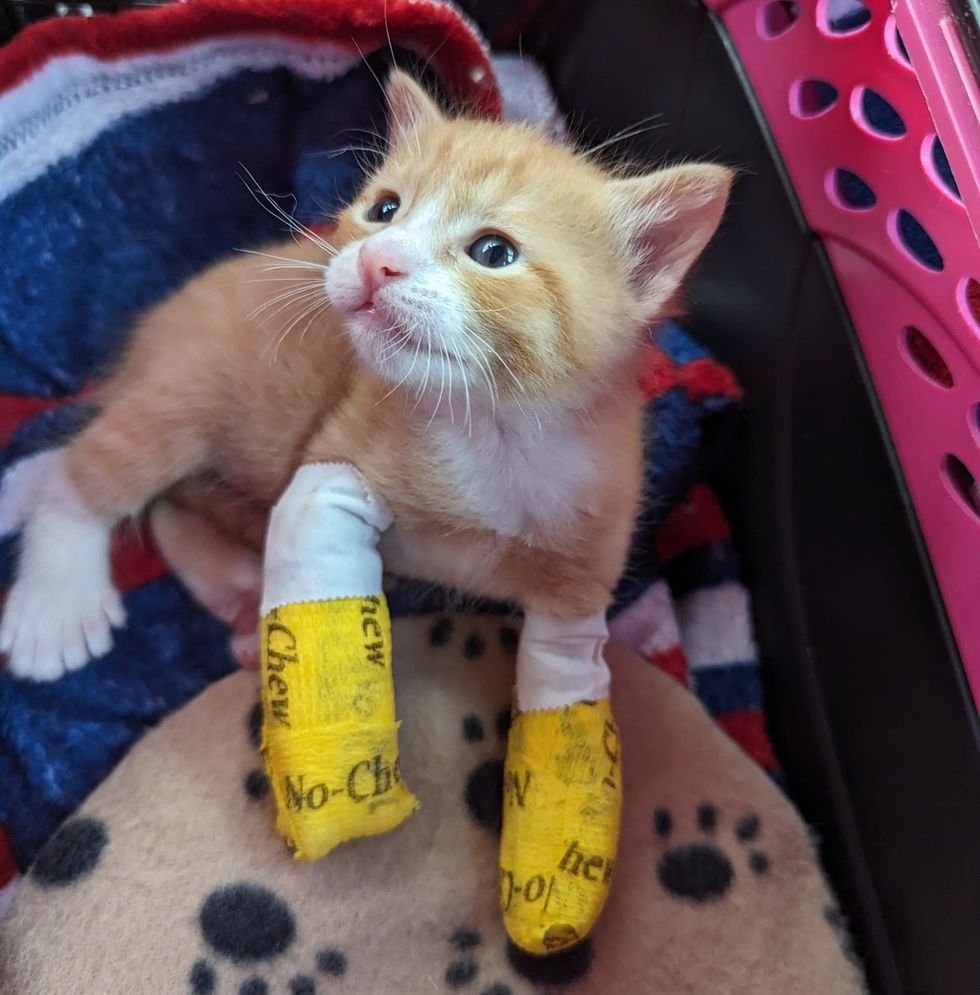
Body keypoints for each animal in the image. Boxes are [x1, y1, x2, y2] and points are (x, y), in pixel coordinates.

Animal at [0, 68, 724, 676]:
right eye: (385, 210)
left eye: (494, 252)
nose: (377, 260)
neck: (496, 429)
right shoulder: (337, 458)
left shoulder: (588, 556)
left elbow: (568, 671)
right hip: (188, 387)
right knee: (86, 470)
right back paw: (55, 607)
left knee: (168, 505)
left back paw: (239, 592)